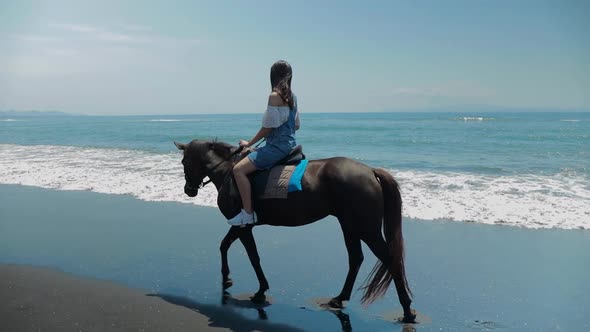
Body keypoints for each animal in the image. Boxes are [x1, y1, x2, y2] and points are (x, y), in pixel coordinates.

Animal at [175, 139, 416, 322]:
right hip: (349, 226)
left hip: (366, 230)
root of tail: (371, 171)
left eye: (184, 161)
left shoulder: (242, 226)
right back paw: (339, 298)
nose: (189, 191)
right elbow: (224, 246)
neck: (228, 172)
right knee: (356, 258)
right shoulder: (239, 225)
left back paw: (407, 310)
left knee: (389, 259)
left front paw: (260, 290)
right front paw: (227, 279)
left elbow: (253, 256)